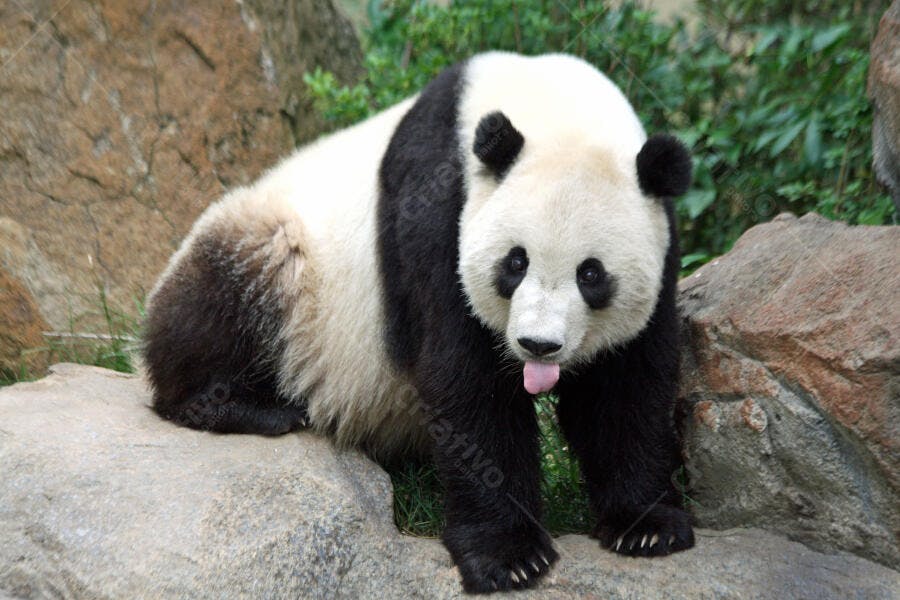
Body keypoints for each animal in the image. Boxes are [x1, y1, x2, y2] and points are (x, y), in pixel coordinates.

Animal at [143, 51, 695, 593]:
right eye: (515, 262)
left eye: (591, 274)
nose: (538, 345)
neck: (552, 104)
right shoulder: (438, 209)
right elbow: (466, 381)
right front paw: (508, 556)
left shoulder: (661, 242)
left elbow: (626, 385)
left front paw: (646, 525)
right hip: (284, 255)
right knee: (224, 301)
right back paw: (245, 407)